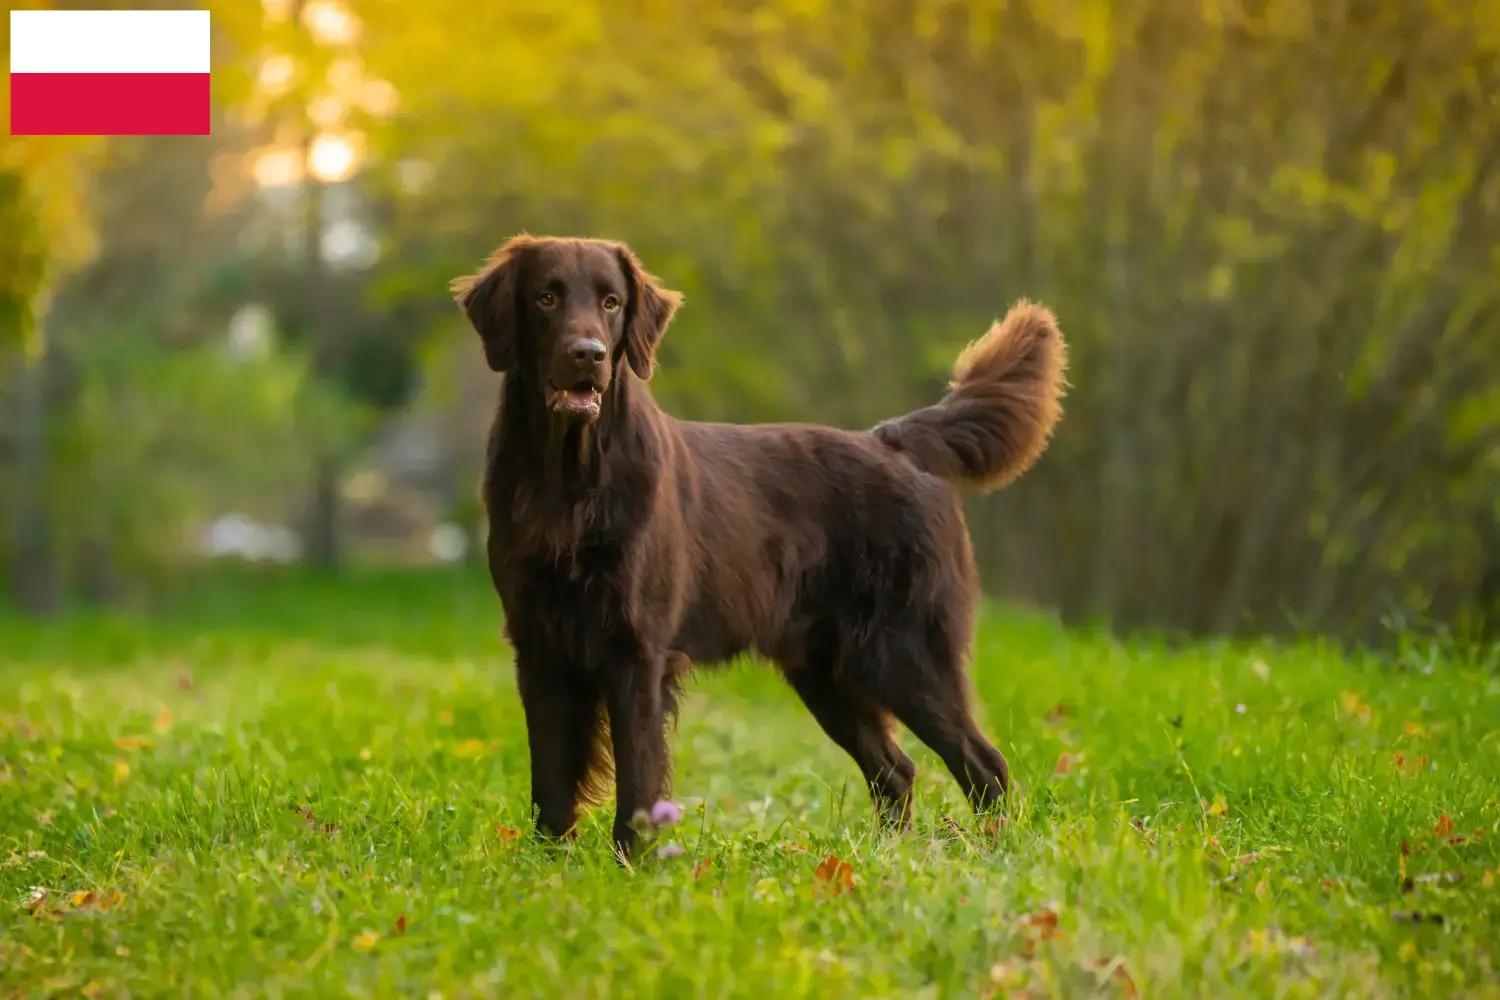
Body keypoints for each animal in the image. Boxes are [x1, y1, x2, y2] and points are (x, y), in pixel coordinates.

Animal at [453, 236, 1068, 863]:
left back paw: (994, 853)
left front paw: (633, 865)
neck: (570, 483)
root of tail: (893, 442)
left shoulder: (638, 650)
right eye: (546, 297)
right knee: (897, 770)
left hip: (905, 651)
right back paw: (885, 856)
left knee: (983, 763)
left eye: (610, 301)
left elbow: (639, 777)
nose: (588, 354)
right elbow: (551, 778)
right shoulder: (539, 646)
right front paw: (549, 864)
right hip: (826, 671)